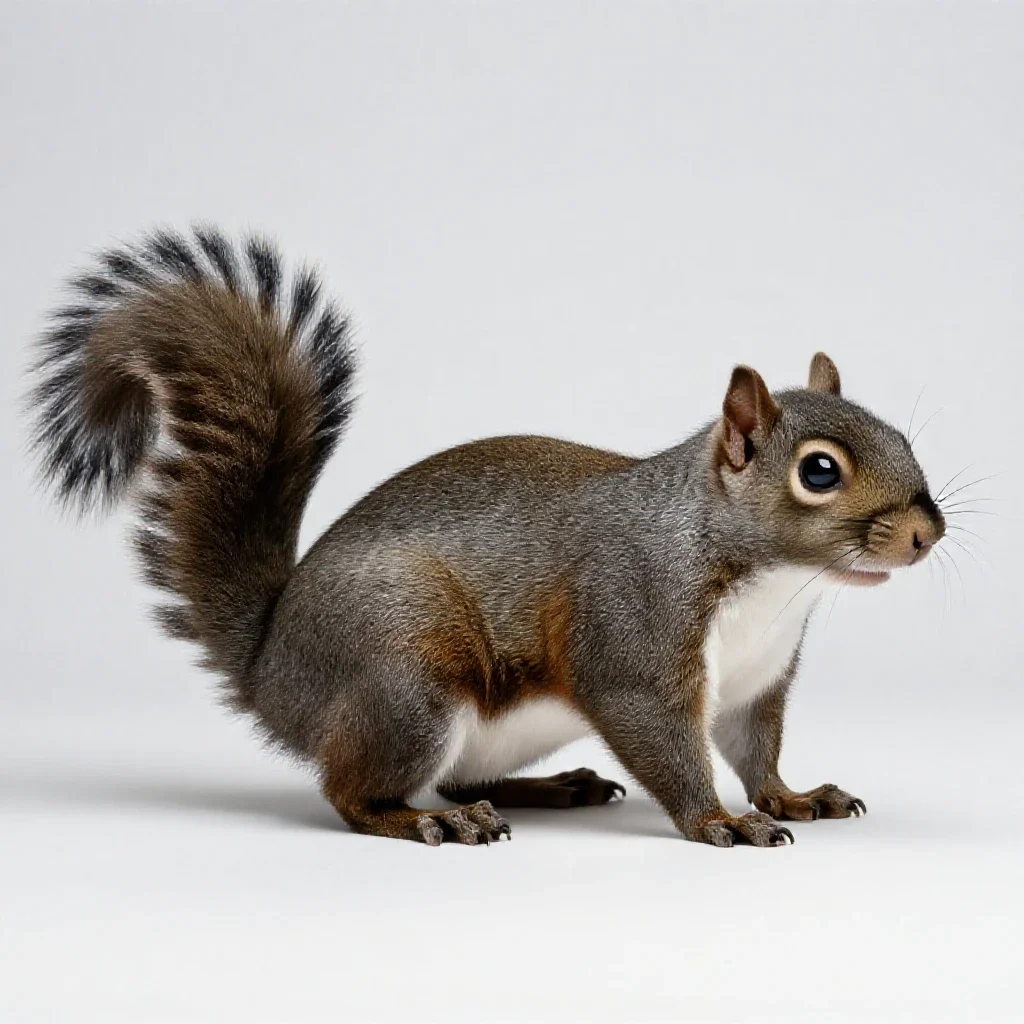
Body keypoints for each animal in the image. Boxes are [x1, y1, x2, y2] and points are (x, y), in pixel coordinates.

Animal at [28, 227, 946, 848]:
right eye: (819, 471)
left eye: (901, 439)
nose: (925, 533)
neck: (771, 584)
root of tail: (269, 668)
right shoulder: (636, 636)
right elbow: (668, 742)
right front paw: (720, 820)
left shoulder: (757, 681)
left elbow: (755, 748)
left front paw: (791, 797)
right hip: (405, 677)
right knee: (352, 790)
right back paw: (430, 821)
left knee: (461, 770)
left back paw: (550, 787)